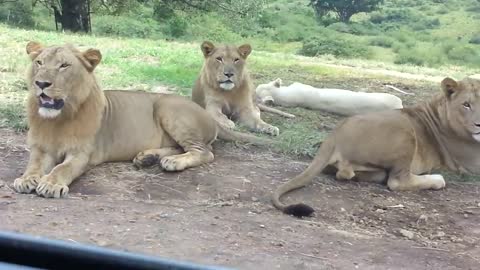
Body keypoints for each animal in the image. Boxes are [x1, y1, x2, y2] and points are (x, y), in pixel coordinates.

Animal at [13, 41, 272, 198]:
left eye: (64, 65)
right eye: (39, 63)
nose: (41, 83)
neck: (57, 119)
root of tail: (208, 113)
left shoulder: (82, 154)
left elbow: (62, 168)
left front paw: (50, 184)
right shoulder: (40, 148)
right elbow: (33, 165)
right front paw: (26, 180)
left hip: (167, 107)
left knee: (204, 152)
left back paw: (173, 162)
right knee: (181, 147)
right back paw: (148, 158)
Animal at [272, 76, 480, 217]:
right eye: (466, 104)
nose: (479, 124)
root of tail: (335, 135)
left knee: (349, 174)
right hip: (405, 133)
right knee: (397, 181)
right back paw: (437, 179)